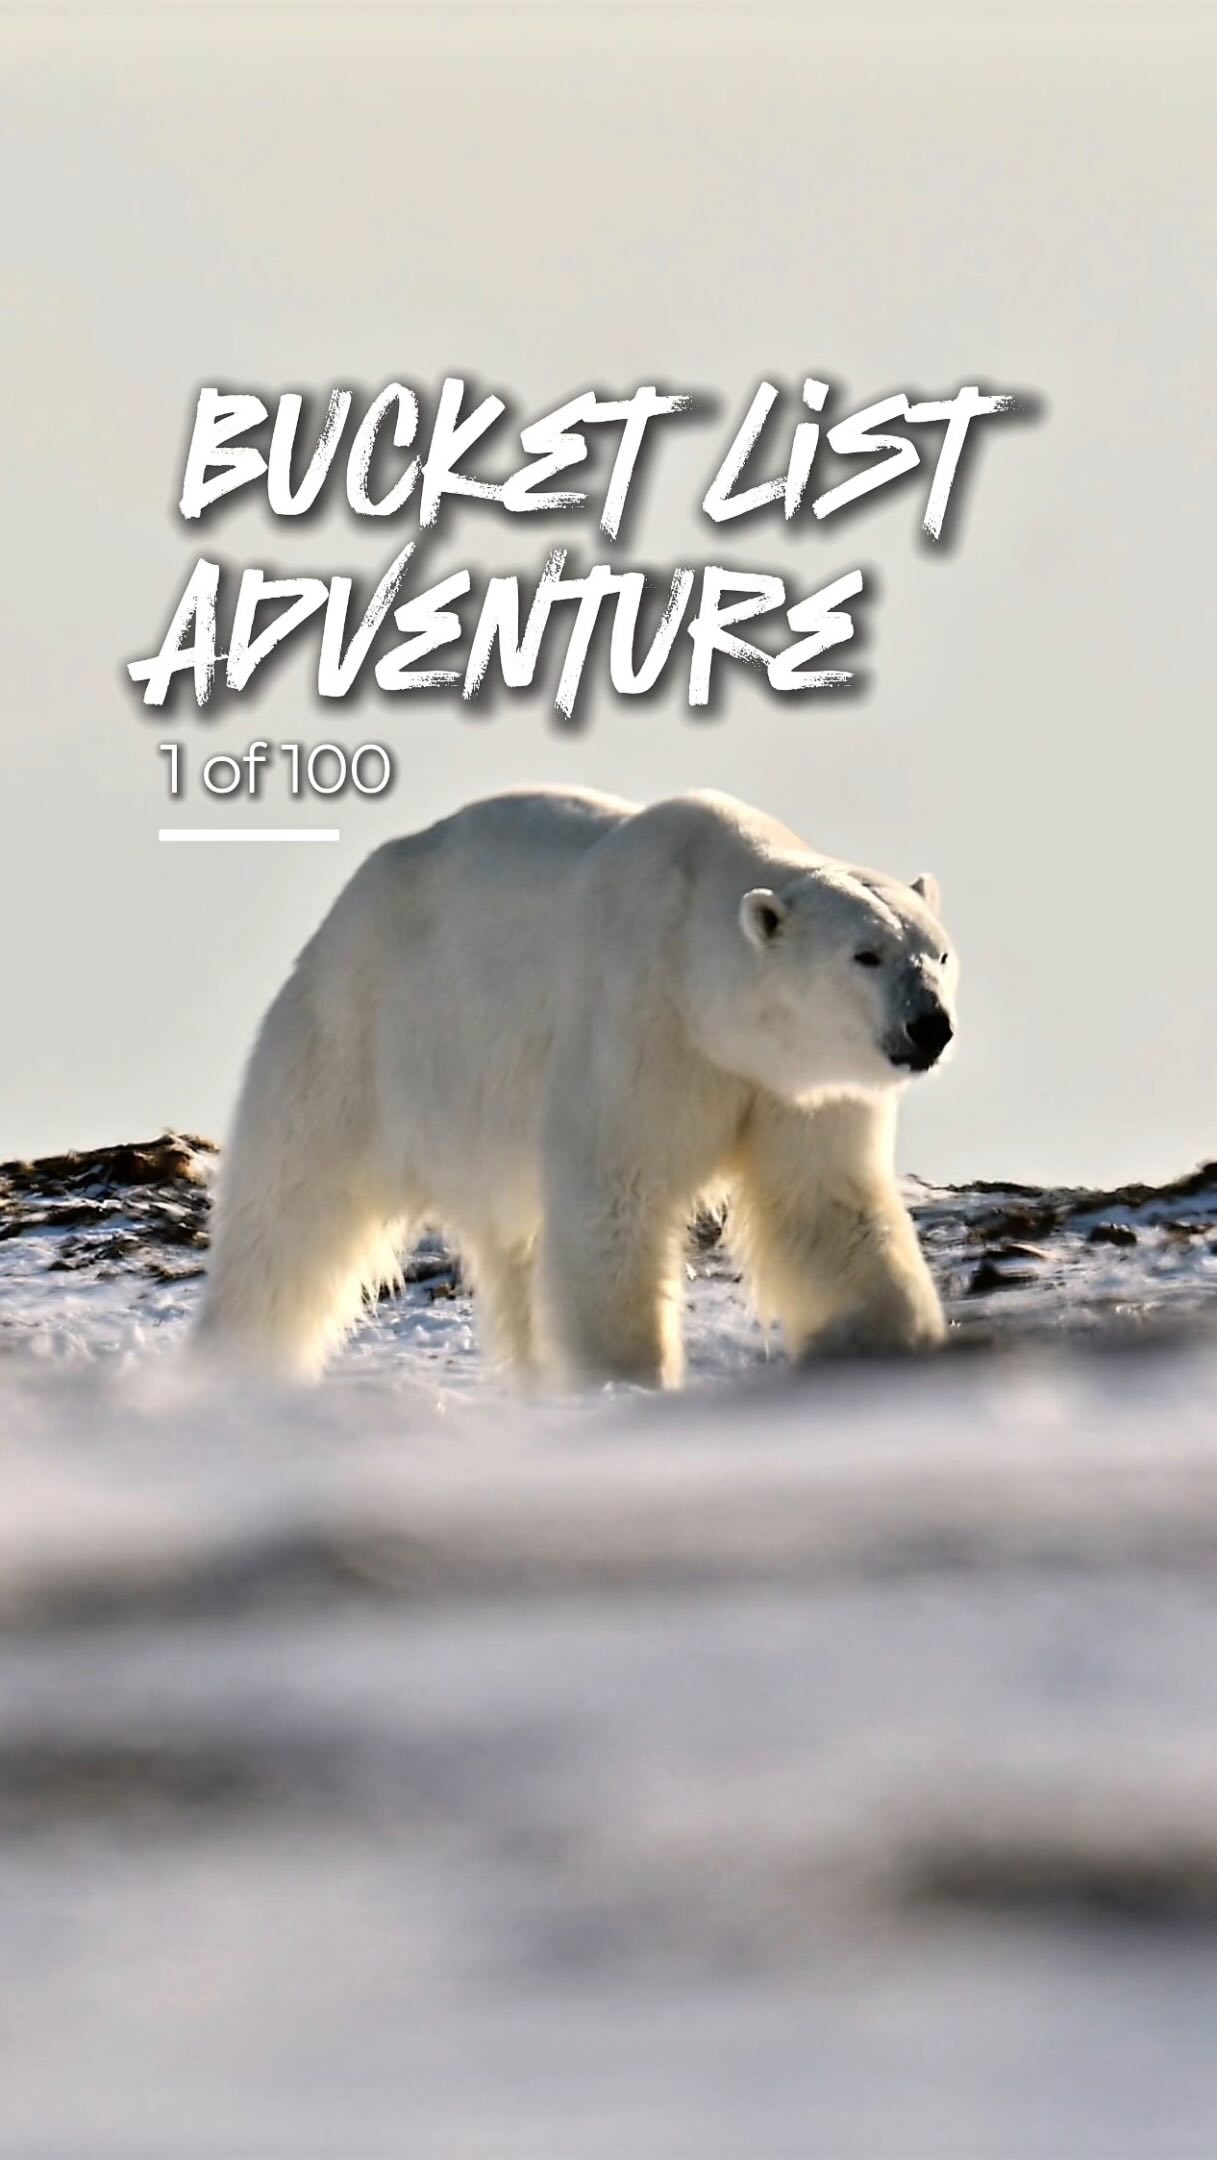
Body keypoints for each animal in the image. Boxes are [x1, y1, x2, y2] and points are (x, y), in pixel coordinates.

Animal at [195, 787, 958, 1386]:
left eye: (939, 953)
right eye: (865, 955)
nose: (929, 1025)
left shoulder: (796, 1089)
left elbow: (825, 1202)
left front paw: (889, 1343)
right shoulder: (638, 1016)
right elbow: (614, 1195)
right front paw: (628, 1375)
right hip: (362, 1031)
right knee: (291, 1210)